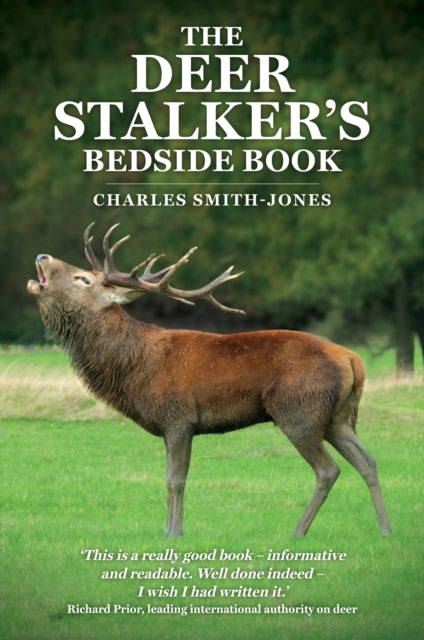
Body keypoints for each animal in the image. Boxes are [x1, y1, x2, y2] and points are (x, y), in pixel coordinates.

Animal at [27, 223, 392, 538]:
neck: (135, 369)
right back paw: (385, 529)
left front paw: (174, 534)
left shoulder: (178, 418)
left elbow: (175, 479)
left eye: (83, 279)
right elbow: (170, 478)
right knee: (368, 461)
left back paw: (298, 532)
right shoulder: (172, 425)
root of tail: (354, 360)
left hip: (299, 410)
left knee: (328, 470)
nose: (42, 256)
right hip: (338, 417)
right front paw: (169, 531)